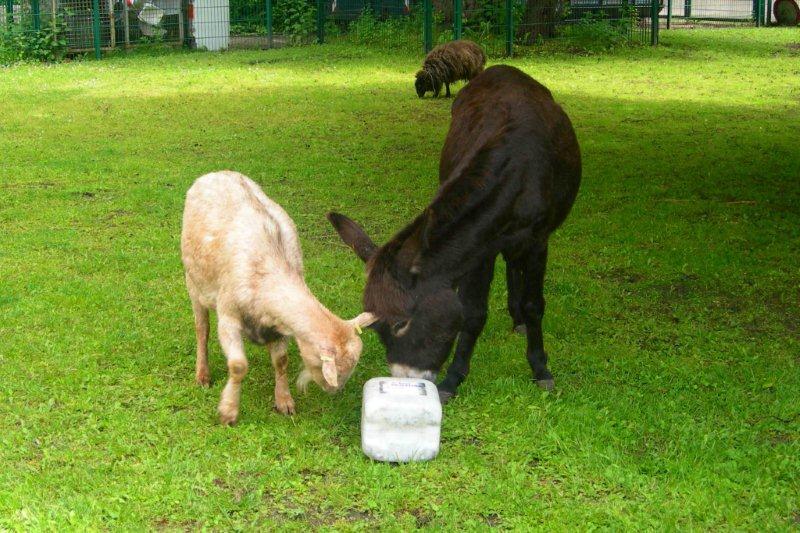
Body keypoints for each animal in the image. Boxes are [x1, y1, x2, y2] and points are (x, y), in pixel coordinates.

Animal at [181, 170, 376, 424]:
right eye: (338, 370)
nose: (334, 390)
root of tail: (217, 172)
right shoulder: (228, 317)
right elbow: (238, 366)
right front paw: (228, 411)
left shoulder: (281, 327)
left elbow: (281, 361)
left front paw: (284, 401)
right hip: (193, 284)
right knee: (201, 330)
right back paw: (202, 374)